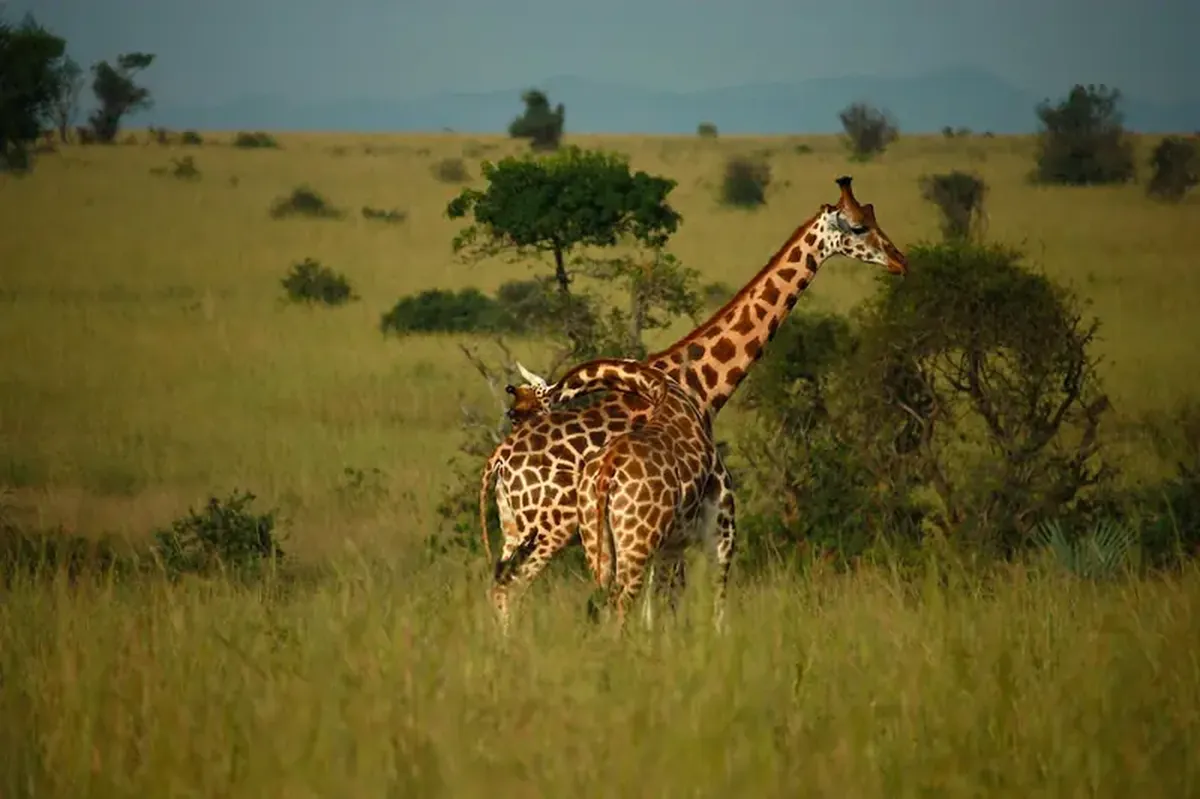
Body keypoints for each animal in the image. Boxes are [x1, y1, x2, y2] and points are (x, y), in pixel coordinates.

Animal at [486, 176, 908, 626]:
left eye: (874, 216)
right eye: (859, 227)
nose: (900, 260)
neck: (696, 385)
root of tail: (500, 462)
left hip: (518, 528)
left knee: (502, 586)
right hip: (552, 527)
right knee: (515, 590)